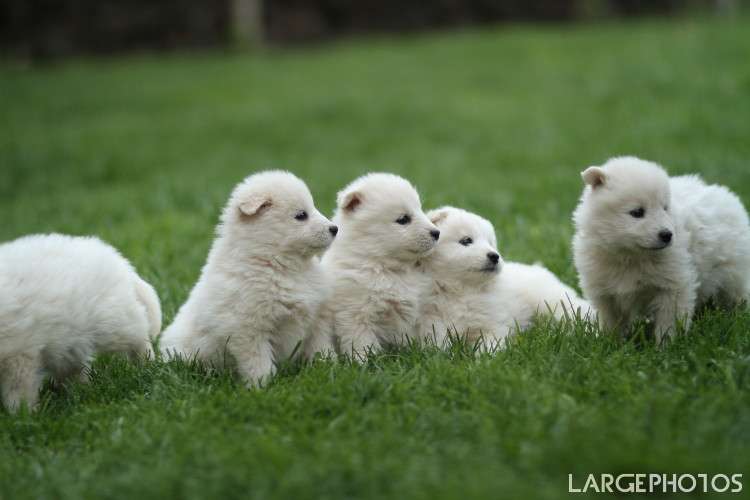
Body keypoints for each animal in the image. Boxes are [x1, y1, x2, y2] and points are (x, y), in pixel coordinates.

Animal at [0, 234, 162, 414]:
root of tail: (120, 263)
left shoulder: (20, 353)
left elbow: (18, 389)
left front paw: (21, 413)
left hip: (113, 321)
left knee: (139, 337)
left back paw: (146, 364)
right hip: (72, 338)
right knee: (74, 369)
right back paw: (77, 391)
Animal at [162, 170, 338, 384]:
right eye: (301, 215)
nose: (334, 228)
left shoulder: (317, 318)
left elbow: (321, 347)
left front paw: (328, 369)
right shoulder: (248, 329)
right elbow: (258, 361)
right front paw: (263, 385)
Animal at [306, 174, 444, 358]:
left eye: (420, 210)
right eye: (403, 219)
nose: (436, 233)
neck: (382, 266)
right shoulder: (356, 314)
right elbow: (363, 343)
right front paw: (364, 361)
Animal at [424, 205, 592, 350]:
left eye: (491, 243)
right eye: (466, 240)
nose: (494, 256)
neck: (462, 291)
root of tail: (539, 269)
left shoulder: (493, 324)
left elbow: (489, 344)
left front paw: (483, 359)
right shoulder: (434, 322)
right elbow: (437, 342)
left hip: (551, 301)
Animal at [576, 157, 750, 344]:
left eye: (665, 207)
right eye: (637, 212)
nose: (667, 235)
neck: (631, 257)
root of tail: (728, 196)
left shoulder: (673, 285)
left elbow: (669, 320)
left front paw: (666, 346)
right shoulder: (605, 291)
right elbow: (611, 321)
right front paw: (610, 343)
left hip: (734, 274)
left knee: (737, 295)